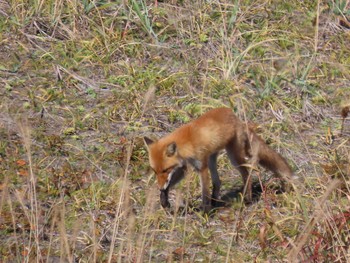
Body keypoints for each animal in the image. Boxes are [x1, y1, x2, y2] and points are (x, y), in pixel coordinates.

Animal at [144, 107, 294, 212]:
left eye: (165, 169)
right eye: (155, 171)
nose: (159, 186)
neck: (187, 143)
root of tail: (238, 119)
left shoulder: (201, 166)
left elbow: (204, 193)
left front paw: (204, 213)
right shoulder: (184, 167)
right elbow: (170, 184)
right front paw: (163, 199)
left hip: (234, 157)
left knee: (247, 174)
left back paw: (247, 199)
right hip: (212, 159)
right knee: (218, 181)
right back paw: (216, 202)